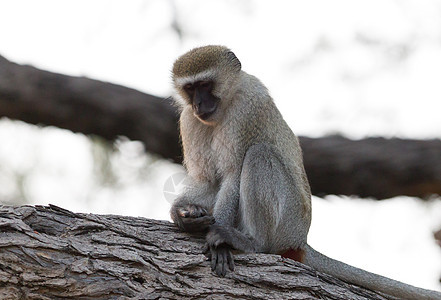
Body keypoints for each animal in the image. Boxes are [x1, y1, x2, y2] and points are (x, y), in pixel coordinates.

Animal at [169, 45, 440, 300]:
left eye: (205, 85)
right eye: (191, 89)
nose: (199, 104)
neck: (226, 102)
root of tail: (301, 240)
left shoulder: (248, 108)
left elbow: (233, 175)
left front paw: (219, 241)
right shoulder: (189, 119)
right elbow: (206, 180)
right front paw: (182, 214)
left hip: (289, 221)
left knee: (259, 154)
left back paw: (251, 242)